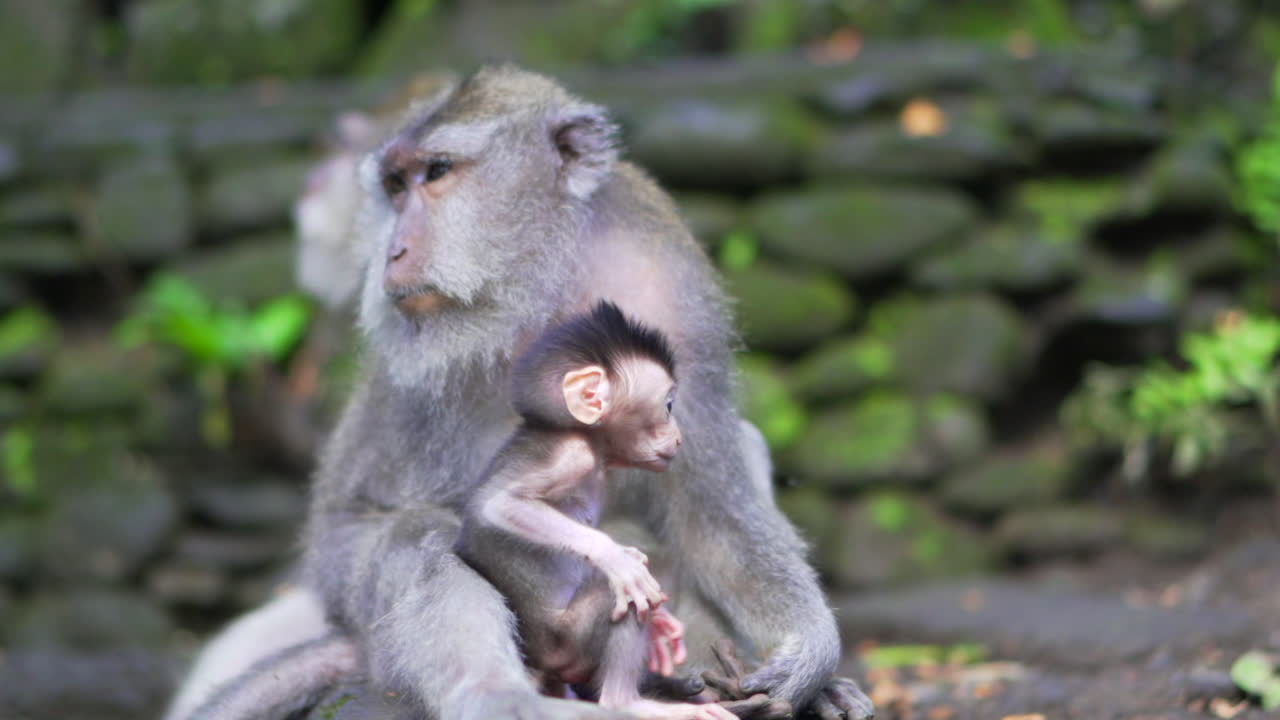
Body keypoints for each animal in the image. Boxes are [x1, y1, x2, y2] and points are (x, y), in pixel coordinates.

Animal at [455, 300, 732, 720]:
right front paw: (615, 557)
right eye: (668, 406)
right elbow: (498, 504)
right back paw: (630, 702)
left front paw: (663, 628)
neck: (589, 441)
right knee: (617, 594)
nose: (680, 438)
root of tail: (540, 661)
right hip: (567, 641)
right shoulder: (573, 454)